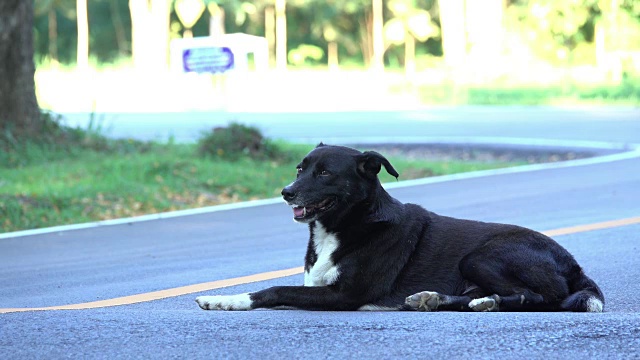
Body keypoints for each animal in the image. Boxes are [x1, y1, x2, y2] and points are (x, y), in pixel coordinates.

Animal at [195, 143, 604, 312]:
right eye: (300, 168)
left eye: (325, 173)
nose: (286, 192)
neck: (347, 225)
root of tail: (574, 264)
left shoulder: (345, 295)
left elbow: (273, 289)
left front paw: (227, 300)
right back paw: (439, 300)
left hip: (481, 257)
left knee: (538, 298)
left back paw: (486, 302)